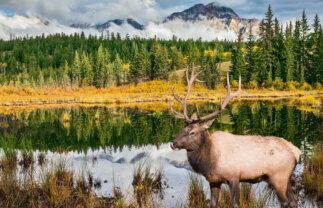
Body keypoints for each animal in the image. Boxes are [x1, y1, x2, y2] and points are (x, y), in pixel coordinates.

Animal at [171, 67, 302, 207]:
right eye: (182, 129)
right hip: (285, 178)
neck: (210, 161)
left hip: (278, 177)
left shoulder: (234, 176)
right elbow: (213, 204)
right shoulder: (214, 180)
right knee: (293, 200)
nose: (173, 143)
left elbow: (235, 203)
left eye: (193, 132)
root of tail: (297, 152)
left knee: (286, 202)